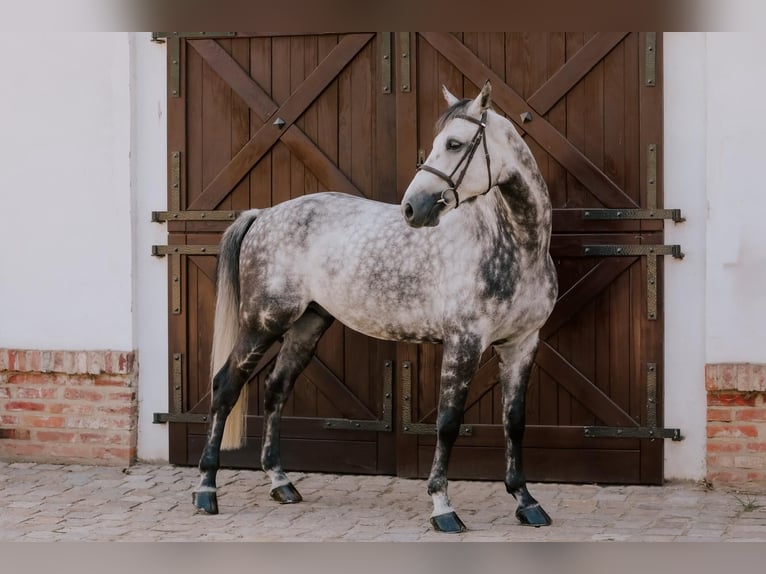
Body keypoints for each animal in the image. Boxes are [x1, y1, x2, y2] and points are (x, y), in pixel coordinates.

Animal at [194, 81, 560, 536]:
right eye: (438, 142)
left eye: (455, 144)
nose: (412, 208)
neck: (515, 247)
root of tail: (263, 214)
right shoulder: (464, 343)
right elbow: (448, 423)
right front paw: (442, 507)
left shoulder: (521, 344)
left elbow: (515, 422)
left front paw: (526, 501)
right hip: (262, 322)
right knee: (226, 386)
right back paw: (206, 490)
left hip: (307, 325)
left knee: (276, 389)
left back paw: (281, 483)